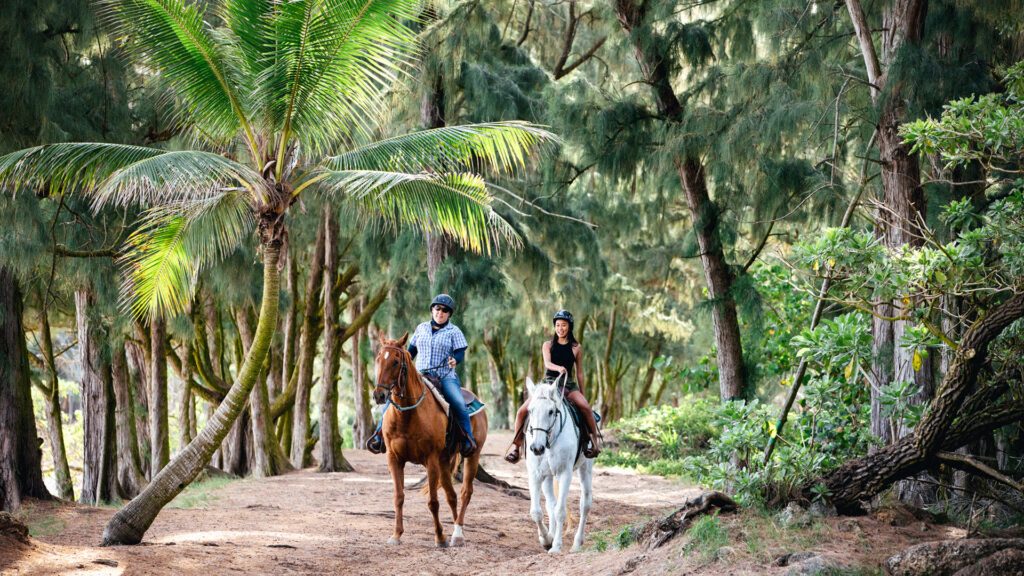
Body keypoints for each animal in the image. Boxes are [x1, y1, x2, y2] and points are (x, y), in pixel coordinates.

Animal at [374, 330, 489, 545]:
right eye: (378, 359)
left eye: (395, 362)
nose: (379, 395)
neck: (408, 415)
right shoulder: (394, 458)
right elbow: (398, 497)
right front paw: (396, 535)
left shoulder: (431, 459)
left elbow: (433, 501)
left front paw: (440, 537)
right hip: (445, 461)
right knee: (452, 495)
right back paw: (456, 529)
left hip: (472, 455)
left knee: (465, 492)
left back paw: (457, 533)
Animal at [528, 377, 593, 553]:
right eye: (530, 411)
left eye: (551, 411)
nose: (537, 448)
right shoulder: (535, 474)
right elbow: (536, 512)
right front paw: (546, 540)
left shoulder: (565, 474)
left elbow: (560, 511)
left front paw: (556, 546)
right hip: (548, 476)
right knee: (550, 504)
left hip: (586, 468)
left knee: (585, 504)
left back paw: (577, 544)